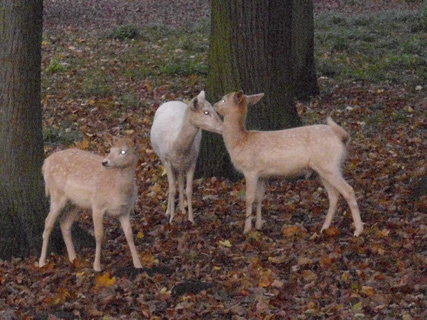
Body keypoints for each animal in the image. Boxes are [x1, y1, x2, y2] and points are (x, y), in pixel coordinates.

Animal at [38, 136, 142, 272]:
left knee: (64, 223)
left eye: (123, 151)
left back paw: (73, 258)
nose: (105, 162)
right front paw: (96, 266)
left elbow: (129, 235)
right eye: (110, 149)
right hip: (56, 193)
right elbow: (99, 235)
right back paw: (41, 262)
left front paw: (138, 264)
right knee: (48, 222)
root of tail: (45, 164)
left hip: (75, 203)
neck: (118, 190)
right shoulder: (97, 205)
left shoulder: (124, 211)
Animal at [150, 90, 222, 222]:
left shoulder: (193, 161)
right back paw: (169, 211)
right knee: (173, 184)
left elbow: (188, 189)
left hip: (181, 165)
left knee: (180, 181)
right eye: (206, 112)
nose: (222, 127)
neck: (177, 146)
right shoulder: (167, 160)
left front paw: (191, 219)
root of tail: (171, 101)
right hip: (163, 158)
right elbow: (172, 189)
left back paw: (182, 209)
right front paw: (171, 218)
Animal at [217, 91, 364, 236]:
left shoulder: (250, 170)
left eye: (223, 99)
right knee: (334, 195)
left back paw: (358, 230)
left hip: (329, 165)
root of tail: (342, 138)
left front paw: (247, 229)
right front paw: (258, 226)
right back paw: (324, 228)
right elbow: (260, 198)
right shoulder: (262, 174)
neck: (240, 142)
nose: (214, 105)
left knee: (348, 190)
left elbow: (249, 198)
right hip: (325, 168)